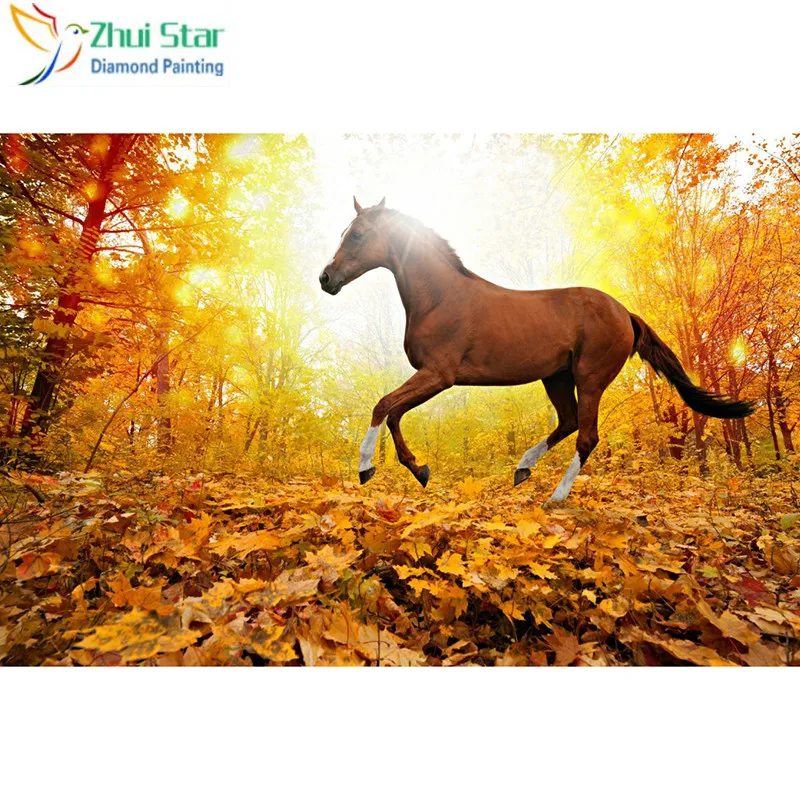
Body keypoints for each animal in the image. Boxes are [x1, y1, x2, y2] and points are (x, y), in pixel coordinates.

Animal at [320, 197, 756, 504]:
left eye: (357, 234)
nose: (326, 278)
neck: (440, 297)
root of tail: (625, 313)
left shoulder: (439, 375)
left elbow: (383, 406)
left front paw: (366, 468)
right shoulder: (433, 377)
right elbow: (394, 412)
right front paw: (419, 469)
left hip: (589, 378)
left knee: (587, 436)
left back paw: (555, 497)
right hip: (556, 377)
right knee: (568, 423)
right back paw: (522, 469)